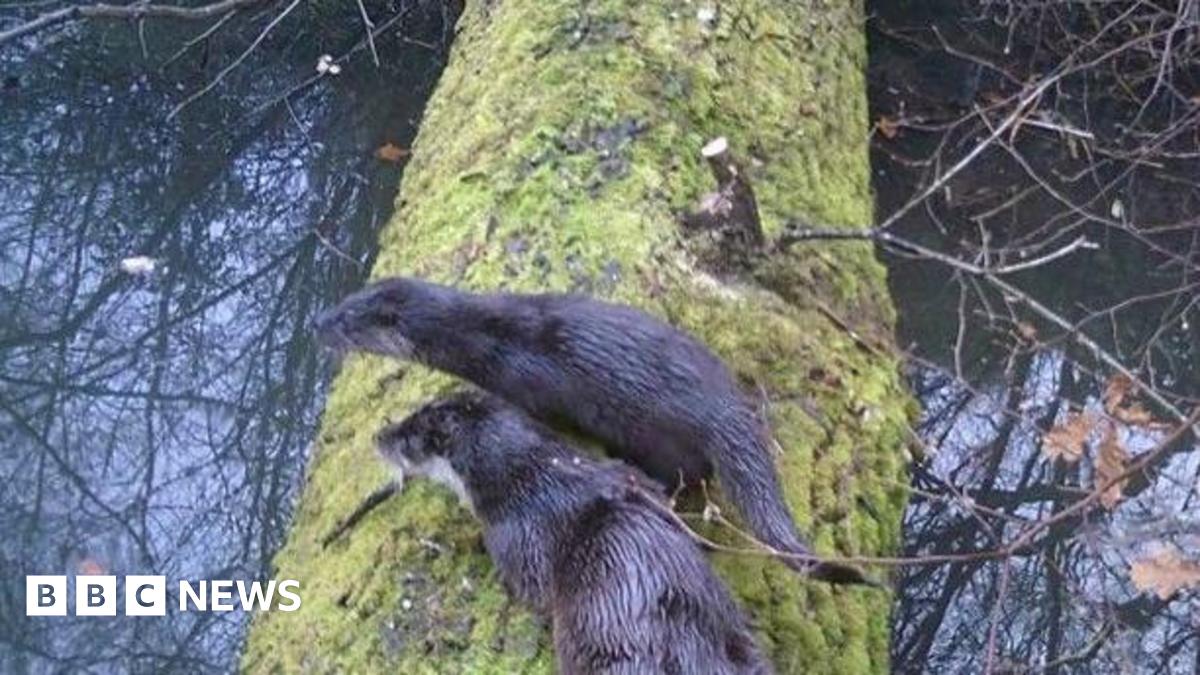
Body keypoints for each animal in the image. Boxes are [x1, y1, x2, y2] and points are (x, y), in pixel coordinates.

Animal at [321, 275, 873, 583]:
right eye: (344, 300)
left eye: (348, 321)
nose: (318, 322)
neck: (487, 339)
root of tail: (726, 411)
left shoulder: (525, 386)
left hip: (665, 441)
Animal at [374, 391, 768, 667]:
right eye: (410, 415)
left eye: (406, 437)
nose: (378, 435)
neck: (531, 479)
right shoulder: (628, 476)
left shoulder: (514, 539)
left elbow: (530, 588)